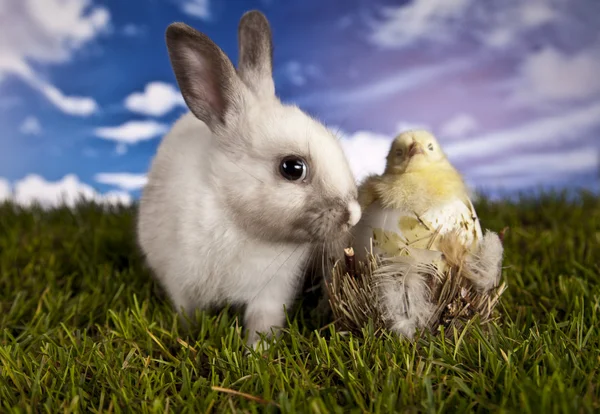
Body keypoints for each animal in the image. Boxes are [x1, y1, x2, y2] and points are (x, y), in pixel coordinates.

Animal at [137, 10, 360, 350]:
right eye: (292, 168)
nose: (354, 214)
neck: (237, 221)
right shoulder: (181, 286)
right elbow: (189, 317)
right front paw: (189, 339)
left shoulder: (271, 293)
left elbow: (262, 325)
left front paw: (258, 354)